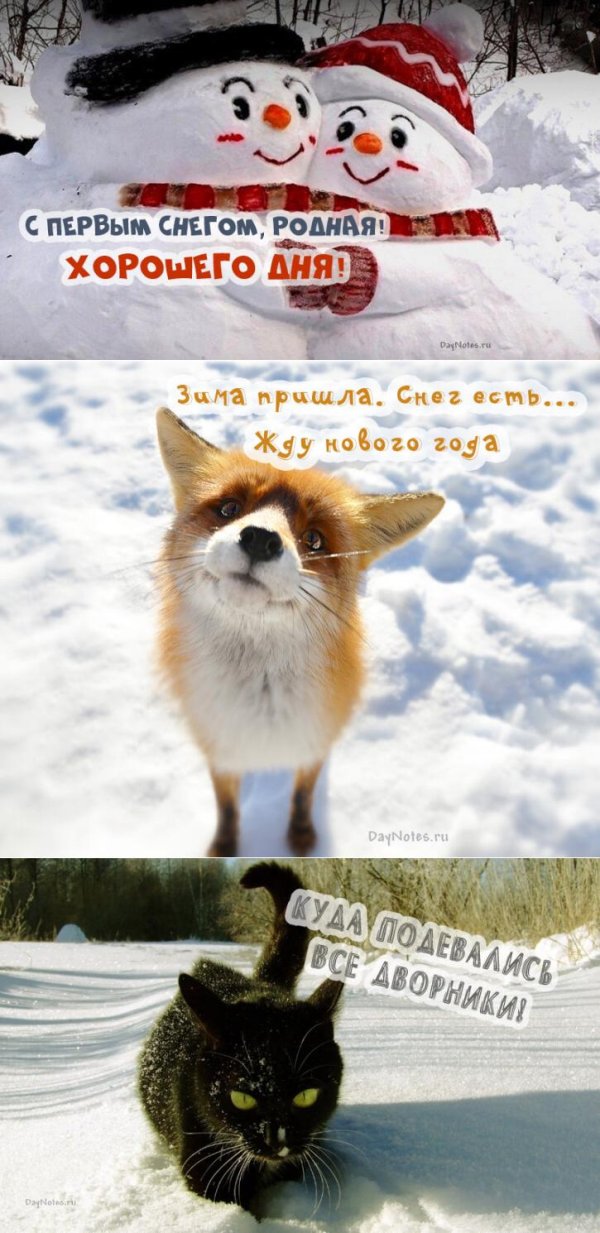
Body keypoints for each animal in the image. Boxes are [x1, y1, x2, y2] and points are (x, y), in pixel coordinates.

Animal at [156, 407, 444, 856]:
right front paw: (225, 848)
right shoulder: (218, 748)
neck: (261, 706)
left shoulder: (314, 743)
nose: (259, 539)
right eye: (229, 508)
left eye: (314, 539)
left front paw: (302, 836)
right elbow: (227, 807)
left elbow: (303, 795)